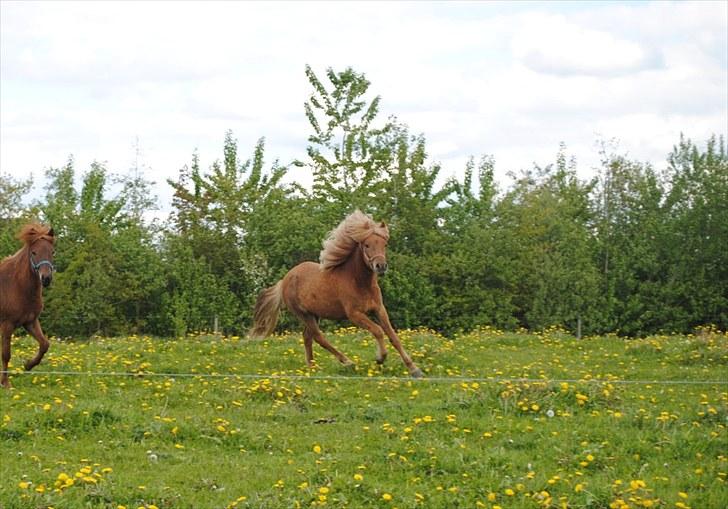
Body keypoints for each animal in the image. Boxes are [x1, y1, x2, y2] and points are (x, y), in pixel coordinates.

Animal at [0, 222, 55, 384]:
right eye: (34, 253)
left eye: (52, 252)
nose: (46, 278)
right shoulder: (7, 324)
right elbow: (6, 354)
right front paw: (5, 383)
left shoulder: (30, 322)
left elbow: (44, 344)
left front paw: (28, 365)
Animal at [250, 208, 420, 376]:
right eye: (366, 245)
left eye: (385, 244)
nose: (381, 266)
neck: (359, 282)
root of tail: (284, 280)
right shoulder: (354, 314)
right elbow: (378, 331)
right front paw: (380, 358)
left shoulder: (379, 309)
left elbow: (393, 336)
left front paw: (414, 369)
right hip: (303, 314)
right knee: (319, 337)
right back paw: (347, 362)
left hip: (314, 314)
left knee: (308, 337)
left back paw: (312, 367)